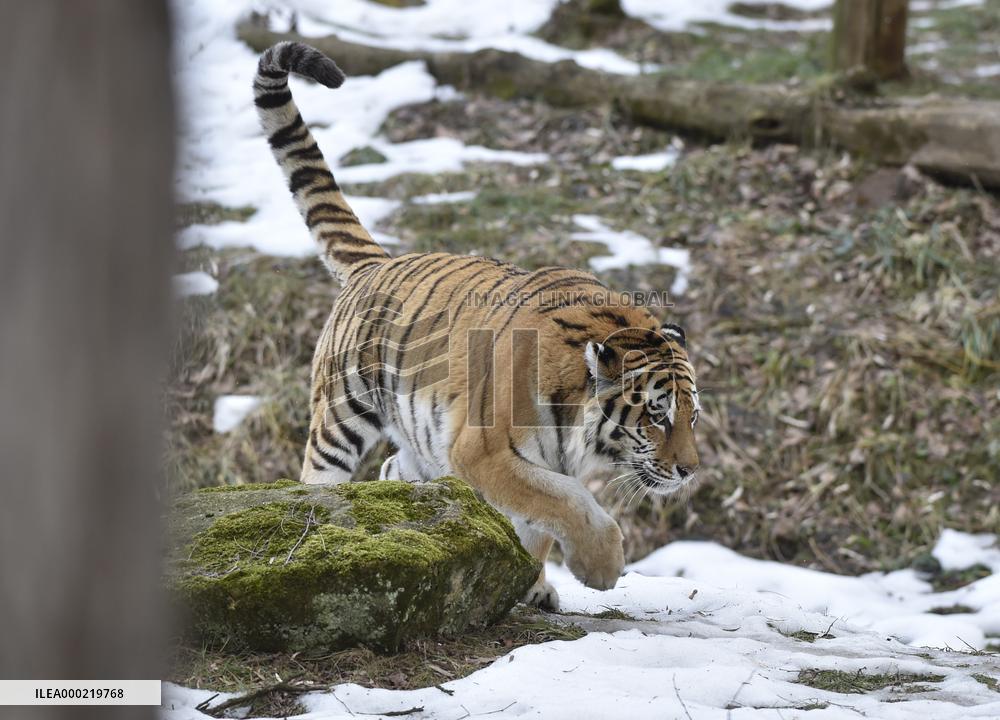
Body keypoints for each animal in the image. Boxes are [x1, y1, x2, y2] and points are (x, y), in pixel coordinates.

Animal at [254, 42, 700, 609]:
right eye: (657, 417)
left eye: (693, 416)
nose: (689, 470)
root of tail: (378, 263)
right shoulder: (485, 450)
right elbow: (565, 501)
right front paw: (600, 566)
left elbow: (536, 523)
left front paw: (529, 583)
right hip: (342, 414)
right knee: (318, 478)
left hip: (423, 442)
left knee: (392, 470)